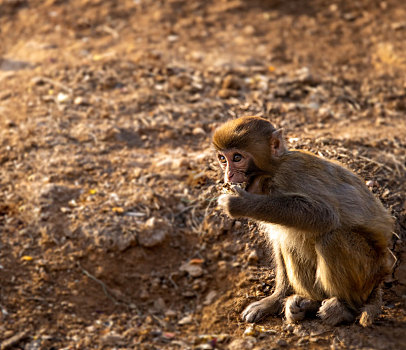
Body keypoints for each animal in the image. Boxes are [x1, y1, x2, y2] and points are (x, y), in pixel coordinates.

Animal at [214, 116, 392, 326]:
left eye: (237, 158)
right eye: (223, 159)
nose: (228, 175)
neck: (272, 171)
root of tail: (381, 273)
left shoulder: (290, 174)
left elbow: (325, 215)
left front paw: (241, 204)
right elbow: (279, 241)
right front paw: (274, 300)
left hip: (367, 270)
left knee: (331, 239)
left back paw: (345, 308)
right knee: (289, 241)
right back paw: (310, 303)